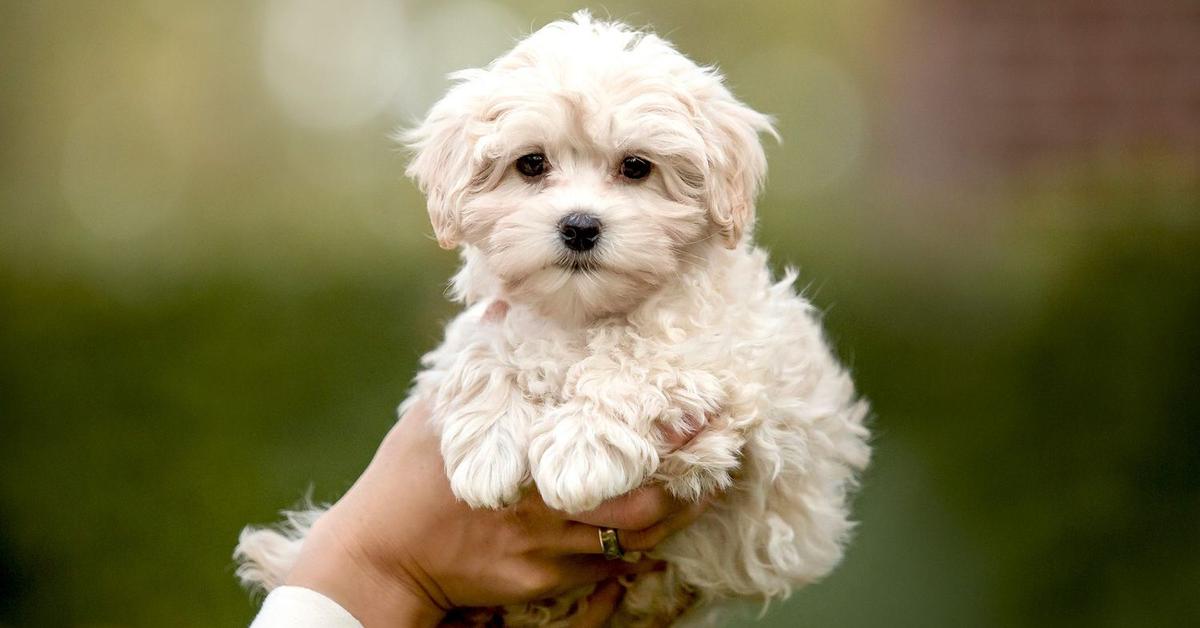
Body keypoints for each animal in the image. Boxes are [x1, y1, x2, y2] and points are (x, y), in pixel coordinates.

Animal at [236, 11, 873, 628]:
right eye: (531, 163)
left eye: (636, 167)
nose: (580, 226)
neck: (581, 313)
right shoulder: (486, 326)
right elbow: (483, 351)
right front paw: (487, 447)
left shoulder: (735, 361)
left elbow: (642, 357)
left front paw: (580, 450)